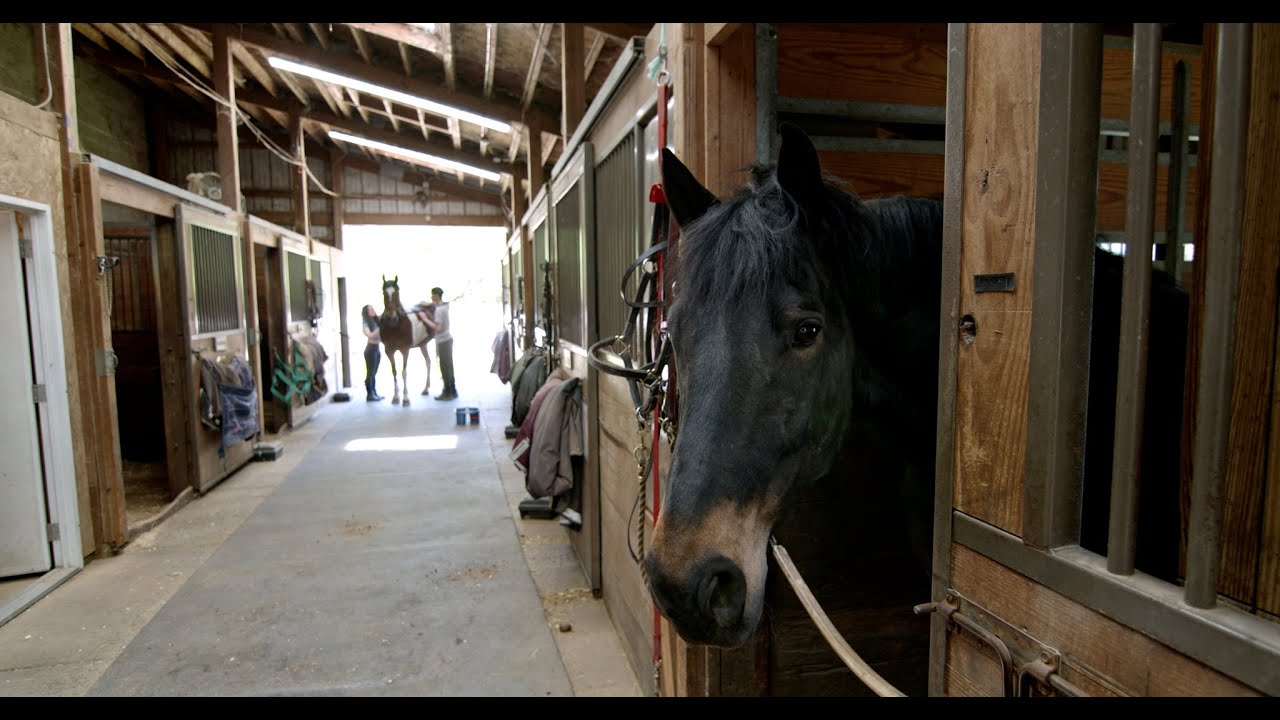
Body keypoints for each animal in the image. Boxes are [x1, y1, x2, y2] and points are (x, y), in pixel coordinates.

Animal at [378, 275, 435, 406]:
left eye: (397, 293)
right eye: (384, 293)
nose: (391, 318)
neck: (395, 327)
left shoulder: (405, 350)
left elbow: (404, 372)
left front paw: (405, 399)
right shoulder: (389, 351)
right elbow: (394, 371)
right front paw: (395, 397)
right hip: (423, 345)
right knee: (428, 362)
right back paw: (426, 389)